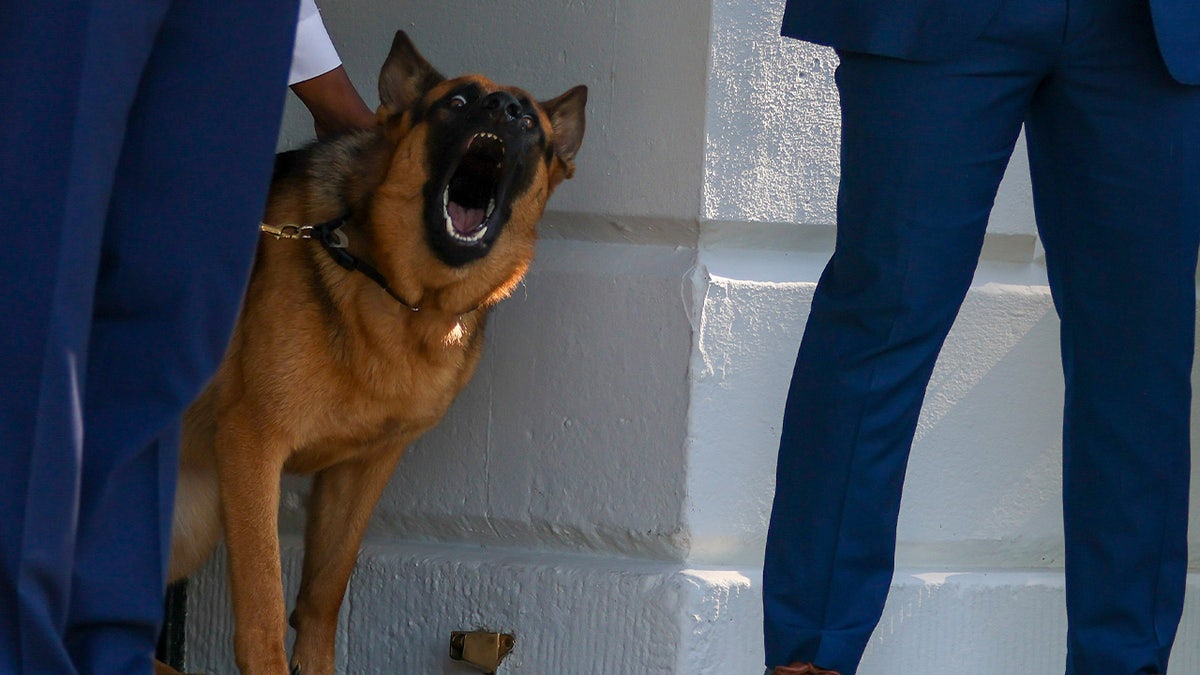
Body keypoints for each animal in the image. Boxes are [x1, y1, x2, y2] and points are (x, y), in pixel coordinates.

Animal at [160, 32, 585, 672]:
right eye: (457, 102)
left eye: (530, 123)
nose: (504, 110)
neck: (406, 297)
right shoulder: (252, 449)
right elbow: (264, 608)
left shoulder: (362, 470)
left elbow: (322, 596)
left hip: (193, 518)